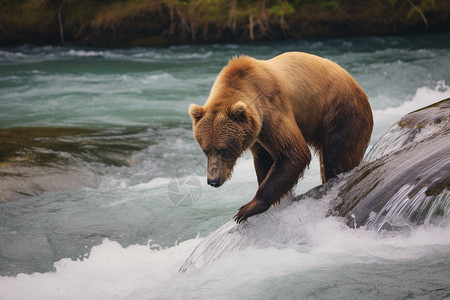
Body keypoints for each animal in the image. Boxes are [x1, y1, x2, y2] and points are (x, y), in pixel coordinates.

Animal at [189, 52, 372, 223]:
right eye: (206, 150)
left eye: (224, 150)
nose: (213, 180)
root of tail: (360, 88)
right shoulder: (257, 134)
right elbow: (265, 159)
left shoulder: (271, 110)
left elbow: (293, 152)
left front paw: (246, 208)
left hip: (342, 114)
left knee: (337, 158)